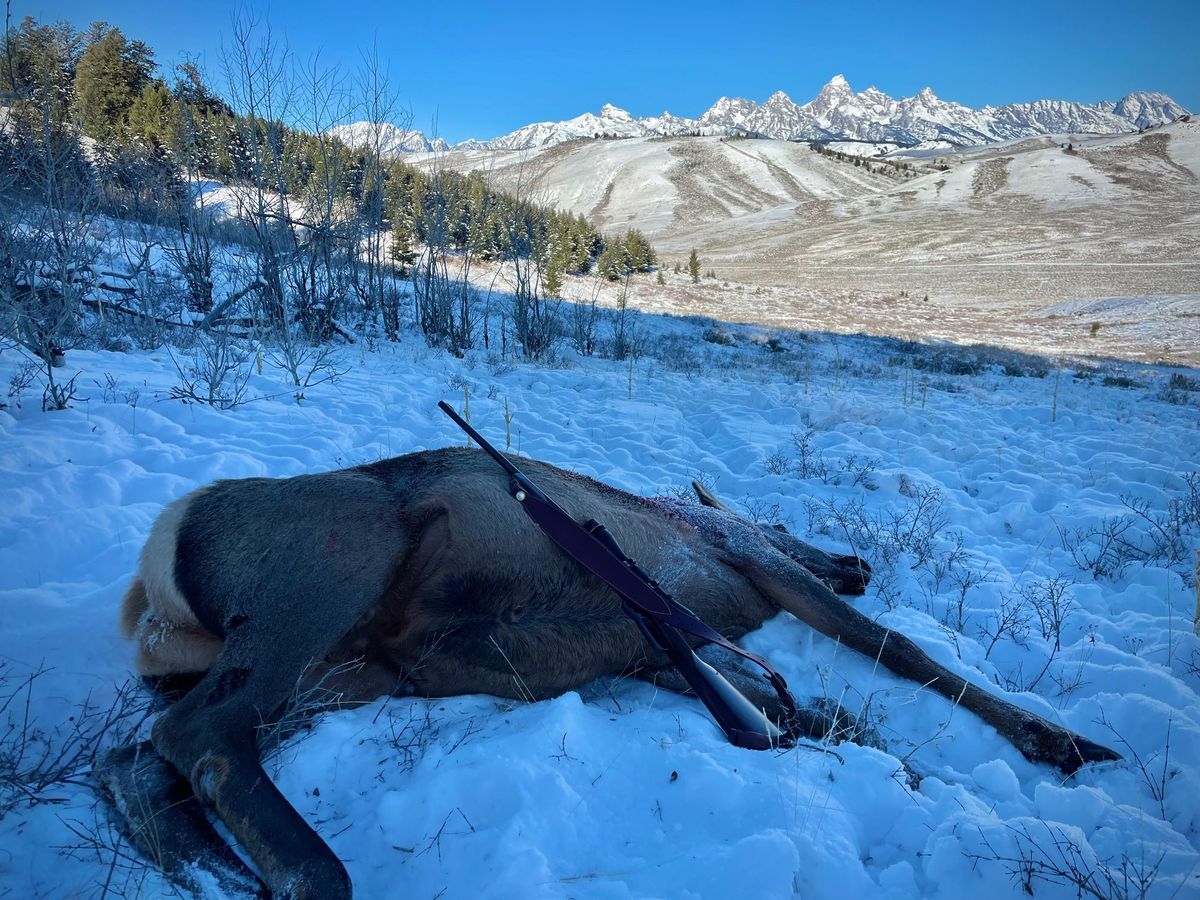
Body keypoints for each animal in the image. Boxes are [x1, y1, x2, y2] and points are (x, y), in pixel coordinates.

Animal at [97, 436, 1120, 899]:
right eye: (783, 520)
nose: (858, 561)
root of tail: (150, 583)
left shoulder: (664, 640)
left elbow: (793, 706)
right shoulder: (746, 561)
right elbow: (895, 649)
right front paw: (1063, 742)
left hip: (346, 672)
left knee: (139, 757)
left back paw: (216, 872)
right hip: (332, 568)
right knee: (198, 733)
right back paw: (306, 875)